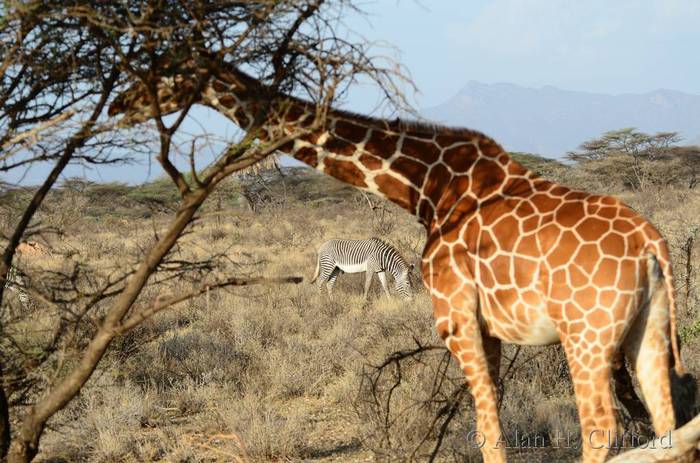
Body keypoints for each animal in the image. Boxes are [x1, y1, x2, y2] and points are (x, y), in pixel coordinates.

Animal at [106, 56, 696, 462]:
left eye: (165, 70)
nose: (116, 104)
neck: (426, 187)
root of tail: (654, 246)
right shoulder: (488, 327)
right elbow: (492, 421)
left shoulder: (456, 318)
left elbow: (488, 432)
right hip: (646, 330)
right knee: (666, 422)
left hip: (587, 334)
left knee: (602, 428)